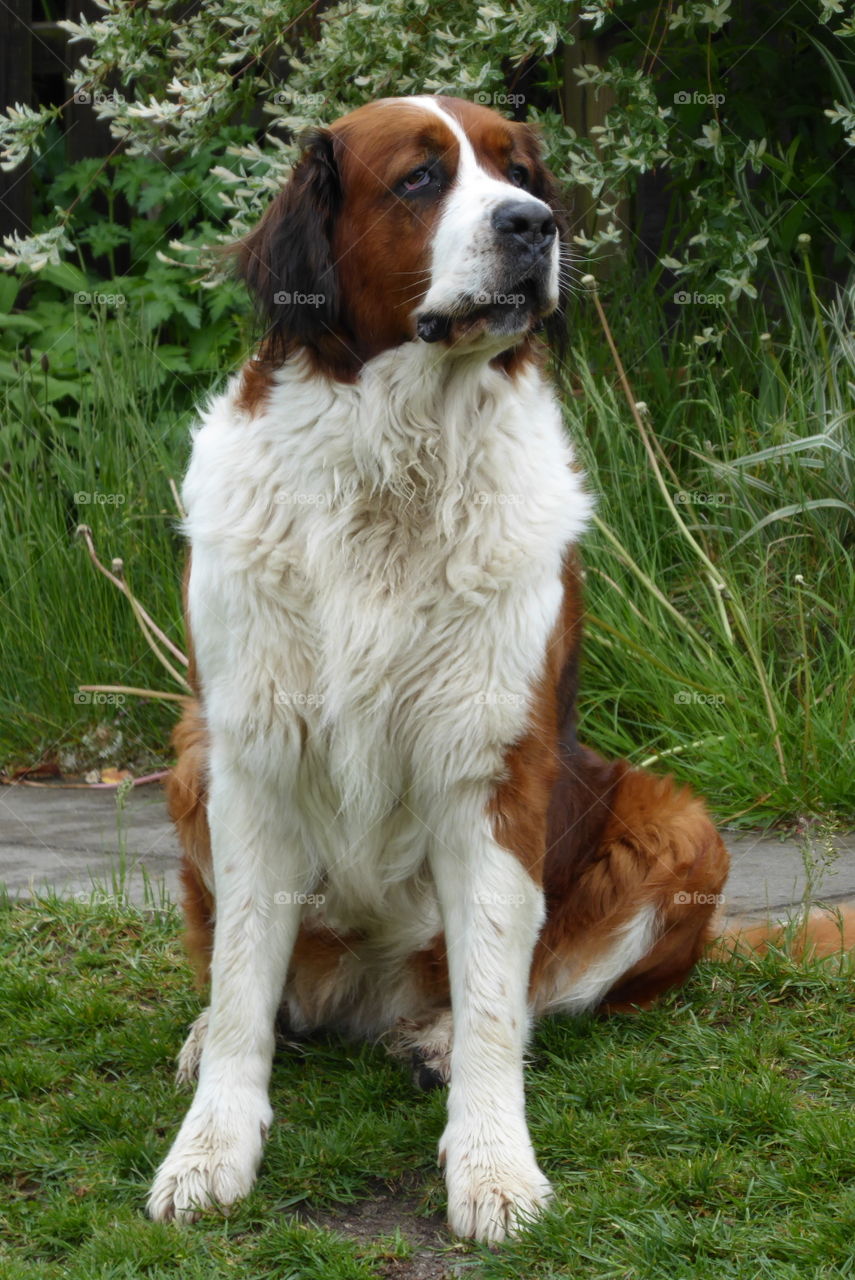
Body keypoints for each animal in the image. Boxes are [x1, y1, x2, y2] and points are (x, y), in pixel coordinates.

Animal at [147, 97, 849, 1239]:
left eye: (519, 173)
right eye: (421, 179)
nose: (533, 226)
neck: (396, 464)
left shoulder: (495, 768)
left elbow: (491, 989)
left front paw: (492, 1166)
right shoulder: (249, 755)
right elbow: (246, 967)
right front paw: (211, 1146)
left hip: (680, 827)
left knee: (532, 993)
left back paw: (434, 1041)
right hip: (188, 750)